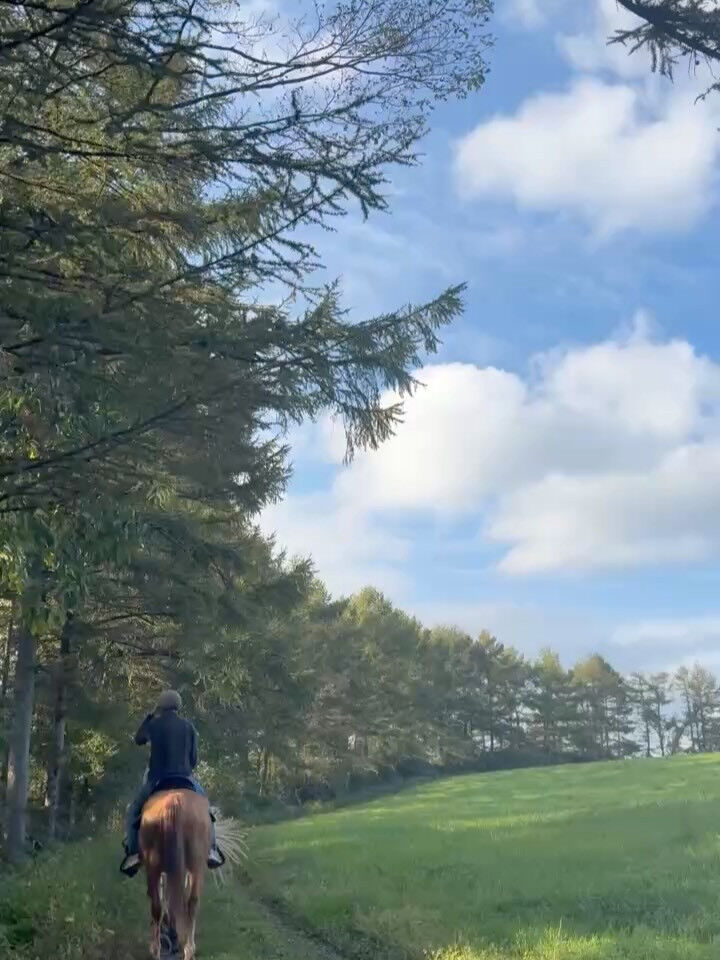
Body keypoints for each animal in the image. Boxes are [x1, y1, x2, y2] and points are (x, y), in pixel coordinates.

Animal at [139, 788, 211, 960]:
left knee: (157, 906)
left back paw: (158, 950)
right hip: (196, 866)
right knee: (191, 903)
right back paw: (187, 949)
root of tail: (174, 802)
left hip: (153, 867)